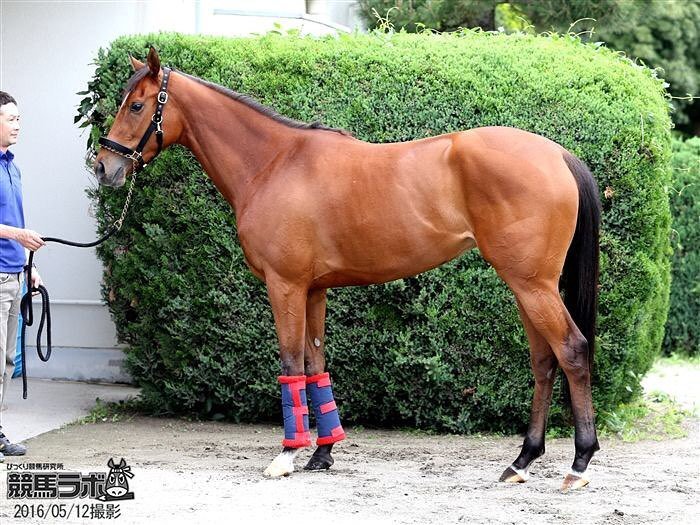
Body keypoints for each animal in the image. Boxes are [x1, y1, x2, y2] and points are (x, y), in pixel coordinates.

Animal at [94, 47, 601, 492]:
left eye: (136, 105)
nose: (104, 167)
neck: (273, 163)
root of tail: (557, 155)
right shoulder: (314, 290)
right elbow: (315, 364)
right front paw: (322, 453)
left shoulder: (285, 286)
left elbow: (290, 362)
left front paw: (286, 455)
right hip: (526, 286)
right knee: (543, 361)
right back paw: (521, 461)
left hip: (532, 285)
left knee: (572, 351)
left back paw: (578, 464)